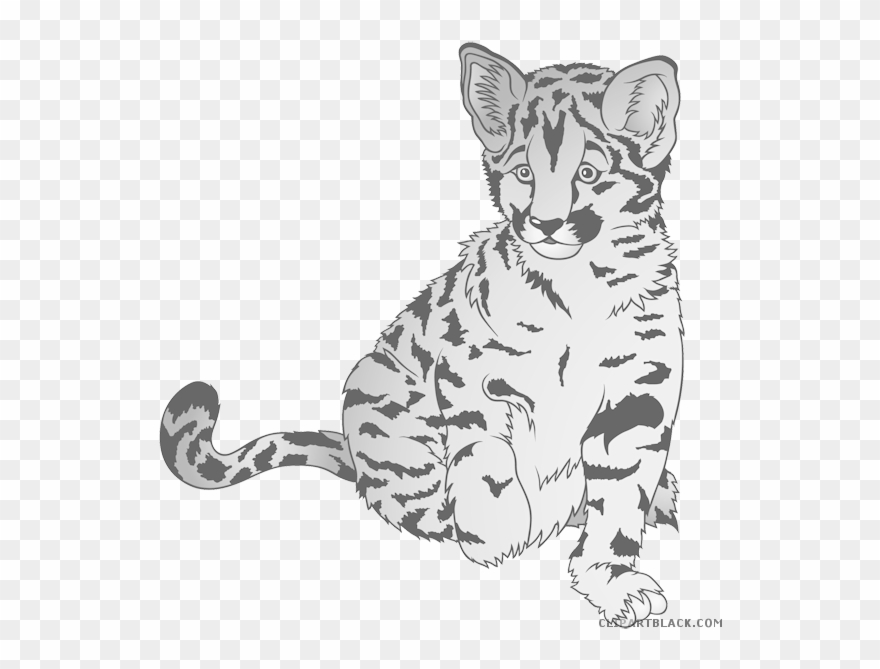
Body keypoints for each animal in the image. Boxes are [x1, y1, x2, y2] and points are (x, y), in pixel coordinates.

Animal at [160, 43, 683, 627]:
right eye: (524, 172)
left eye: (588, 172)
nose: (545, 224)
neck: (580, 285)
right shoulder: (468, 370)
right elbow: (485, 452)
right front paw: (498, 533)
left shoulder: (639, 396)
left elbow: (619, 497)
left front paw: (611, 579)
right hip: (378, 394)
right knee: (418, 503)